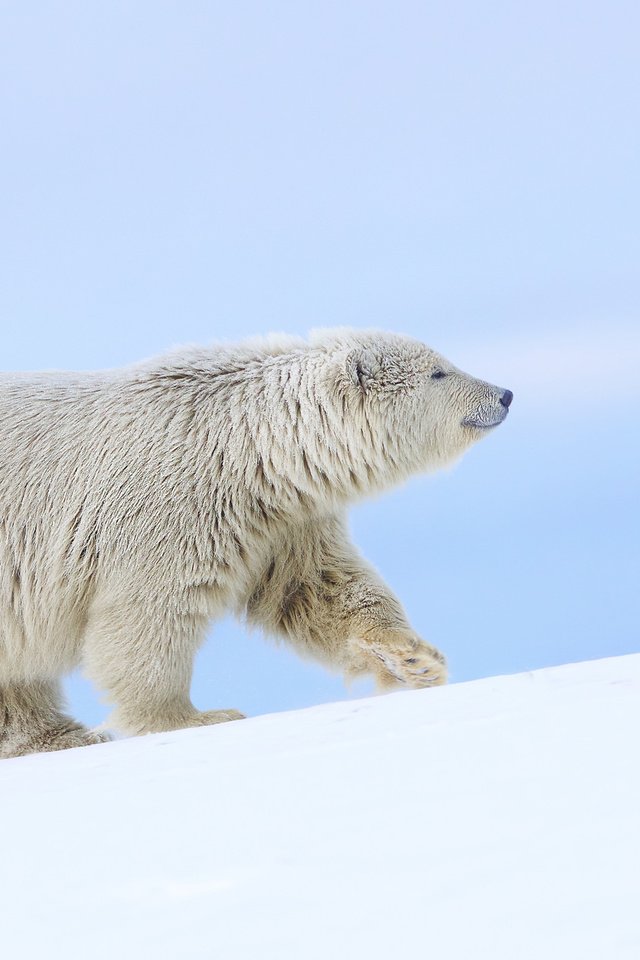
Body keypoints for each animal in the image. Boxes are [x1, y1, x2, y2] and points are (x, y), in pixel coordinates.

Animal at [0, 330, 510, 756]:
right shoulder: (168, 508)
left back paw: (59, 735)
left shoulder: (284, 520)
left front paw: (414, 659)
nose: (504, 394)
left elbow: (319, 588)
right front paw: (195, 717)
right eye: (438, 372)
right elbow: (149, 611)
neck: (245, 448)